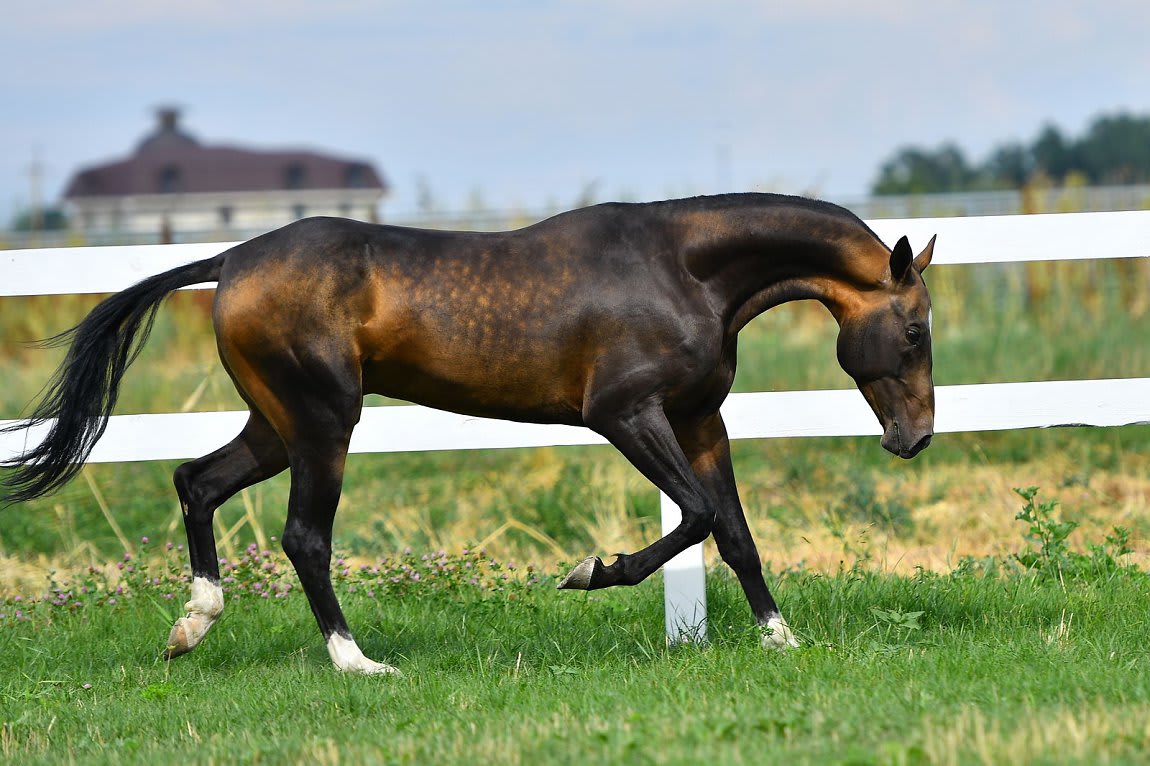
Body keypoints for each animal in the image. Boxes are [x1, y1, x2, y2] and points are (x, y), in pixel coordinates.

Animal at [1, 193, 935, 674]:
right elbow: (699, 517)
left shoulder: (701, 420)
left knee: (194, 482)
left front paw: (783, 639)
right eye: (916, 328)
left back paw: (191, 627)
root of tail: (229, 261)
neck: (684, 271)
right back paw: (356, 662)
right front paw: (590, 572)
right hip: (323, 423)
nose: (917, 438)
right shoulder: (625, 414)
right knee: (304, 537)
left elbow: (735, 533)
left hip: (276, 425)